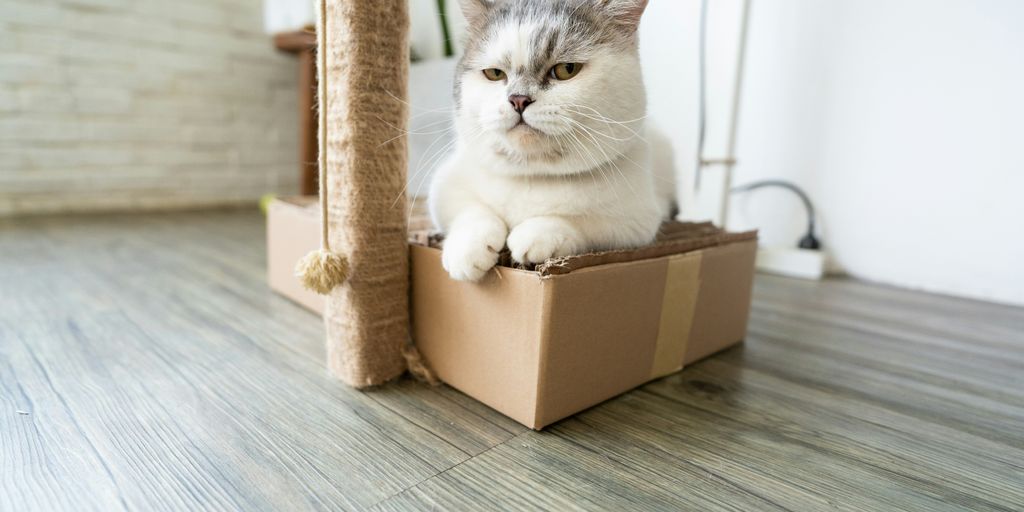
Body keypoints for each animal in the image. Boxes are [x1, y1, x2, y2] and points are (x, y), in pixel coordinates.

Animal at [425, 0, 671, 284]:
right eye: (494, 74)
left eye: (566, 70)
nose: (518, 99)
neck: (534, 175)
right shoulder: (444, 189)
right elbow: (470, 211)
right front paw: (467, 252)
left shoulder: (637, 221)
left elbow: (584, 223)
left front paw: (537, 235)